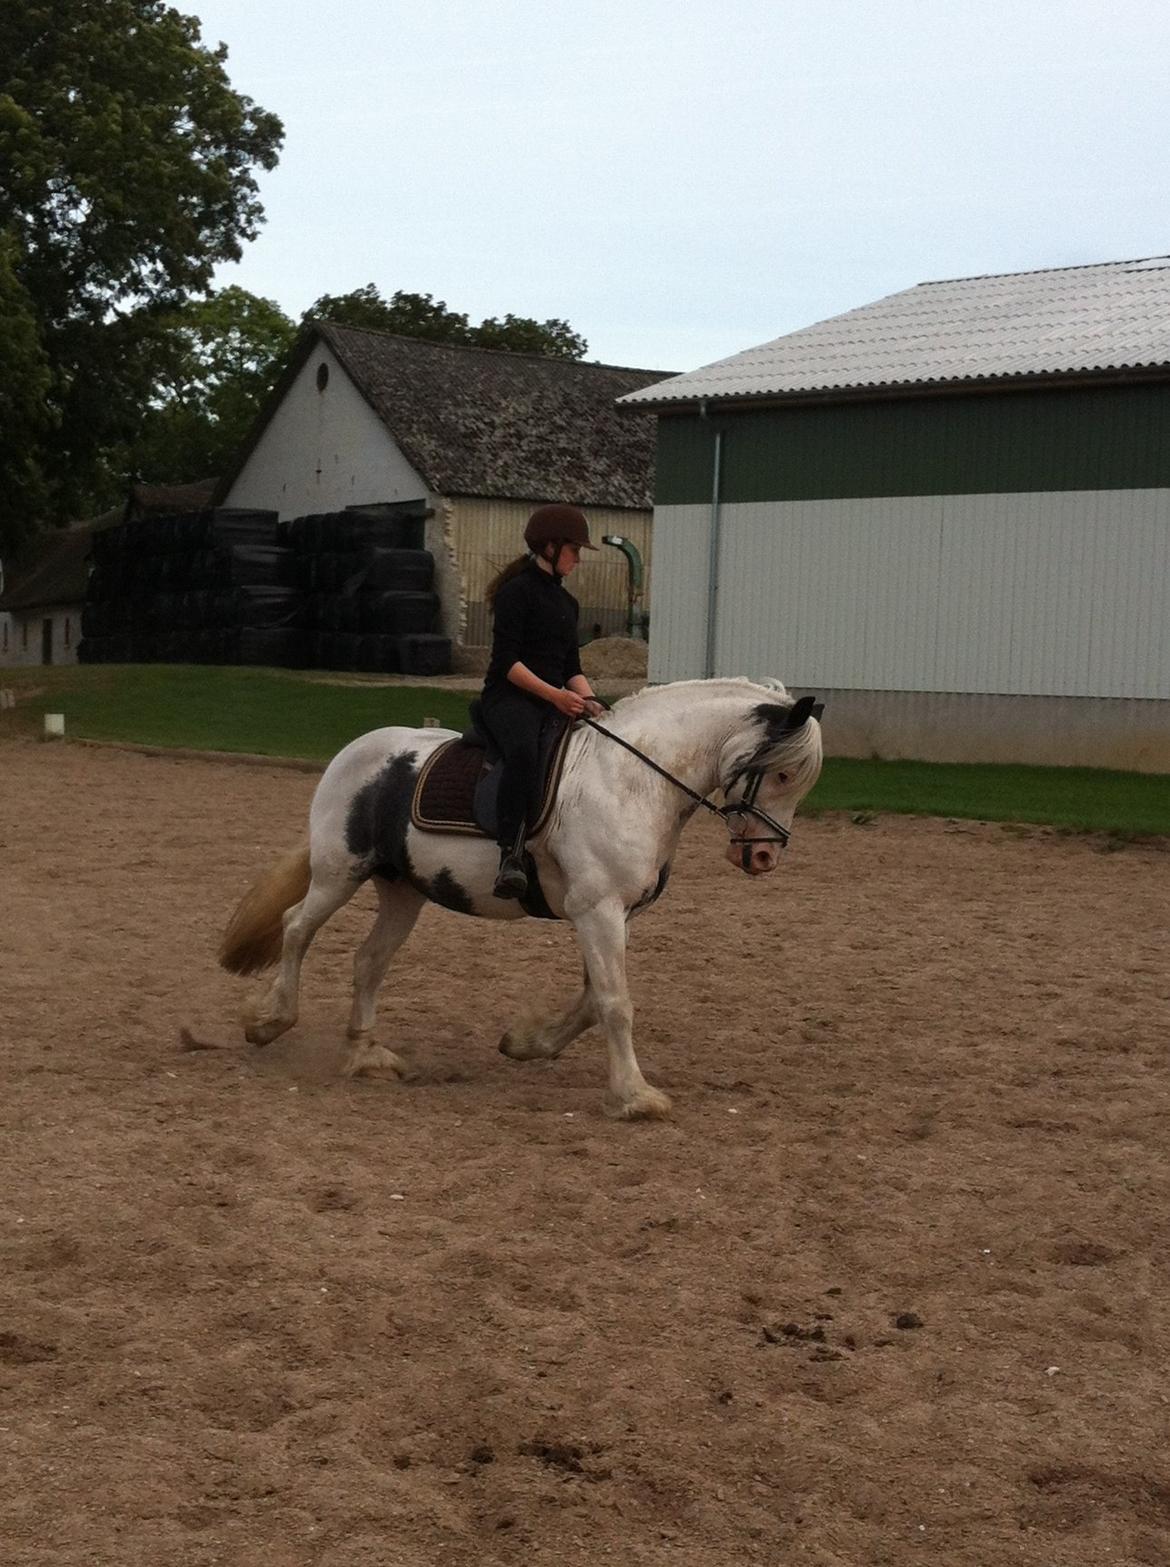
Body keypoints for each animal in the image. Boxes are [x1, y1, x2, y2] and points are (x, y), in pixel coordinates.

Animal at [219, 673, 820, 1115]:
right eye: (782, 774)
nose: (763, 858)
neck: (633, 779)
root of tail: (355, 751)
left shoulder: (613, 914)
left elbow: (592, 1000)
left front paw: (529, 1044)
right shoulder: (598, 910)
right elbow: (614, 1002)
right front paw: (634, 1095)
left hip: (403, 890)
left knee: (369, 961)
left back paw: (366, 1055)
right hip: (339, 873)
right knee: (297, 927)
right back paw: (270, 1022)